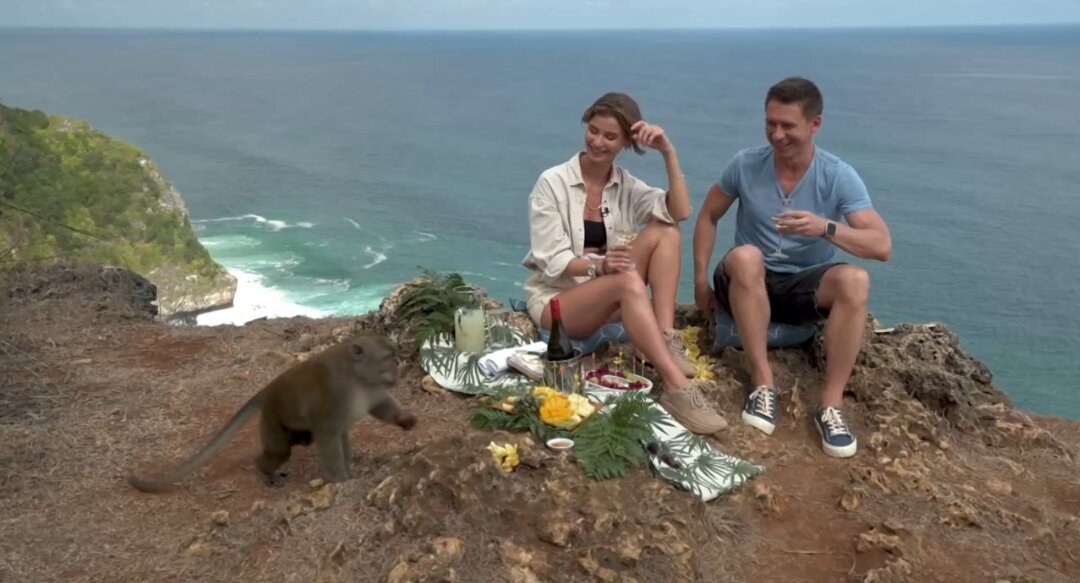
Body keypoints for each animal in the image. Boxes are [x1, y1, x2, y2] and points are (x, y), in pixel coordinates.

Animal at [127, 332, 416, 493]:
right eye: (388, 356)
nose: (399, 364)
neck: (358, 378)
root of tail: (267, 391)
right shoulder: (336, 389)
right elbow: (326, 432)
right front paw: (341, 480)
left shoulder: (373, 388)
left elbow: (380, 407)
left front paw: (404, 419)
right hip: (273, 421)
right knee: (281, 451)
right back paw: (265, 470)